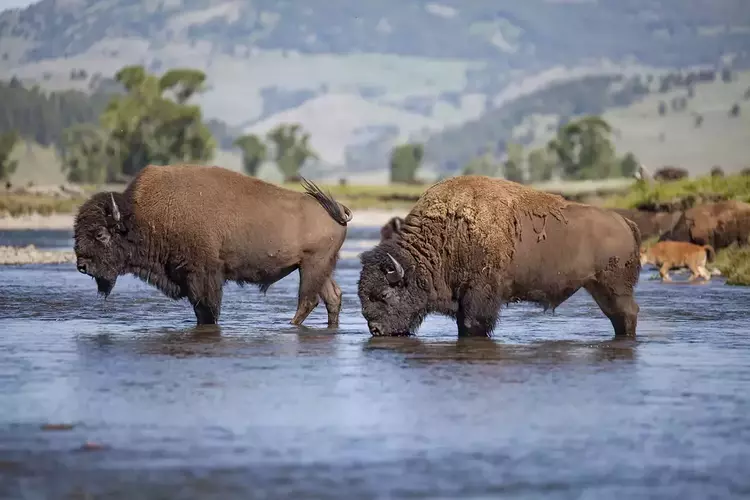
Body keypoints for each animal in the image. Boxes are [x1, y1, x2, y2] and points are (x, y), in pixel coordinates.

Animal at [72, 165, 354, 328]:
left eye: (100, 234)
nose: (82, 266)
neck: (141, 216)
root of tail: (336, 209)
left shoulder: (202, 276)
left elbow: (207, 310)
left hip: (312, 266)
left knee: (308, 300)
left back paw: (289, 326)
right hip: (316, 267)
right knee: (332, 297)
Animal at [362, 176, 644, 340]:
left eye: (384, 294)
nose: (376, 330)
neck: (446, 234)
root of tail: (625, 222)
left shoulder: (480, 295)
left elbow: (473, 325)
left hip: (615, 287)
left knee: (626, 313)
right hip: (598, 287)